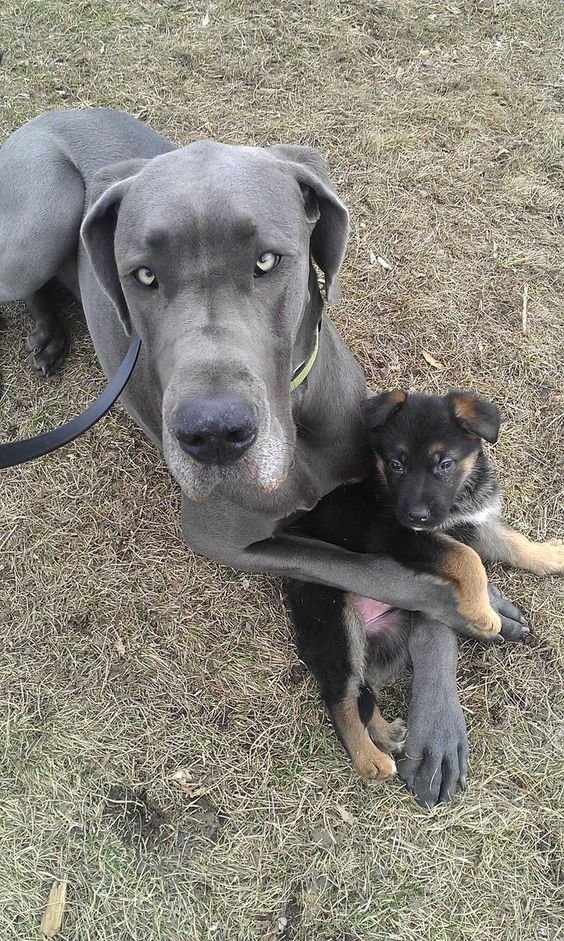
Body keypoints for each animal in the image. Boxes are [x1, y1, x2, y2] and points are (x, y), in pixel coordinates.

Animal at [286, 388, 564, 780]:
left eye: (444, 464)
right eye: (396, 464)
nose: (416, 515)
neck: (460, 496)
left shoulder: (475, 524)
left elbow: (514, 543)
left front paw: (551, 556)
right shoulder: (400, 535)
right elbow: (468, 558)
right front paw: (482, 614)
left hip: (393, 630)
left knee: (363, 688)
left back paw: (384, 732)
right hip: (334, 622)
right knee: (340, 696)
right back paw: (369, 759)